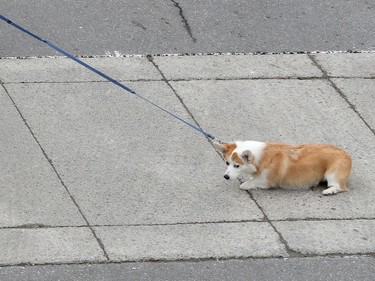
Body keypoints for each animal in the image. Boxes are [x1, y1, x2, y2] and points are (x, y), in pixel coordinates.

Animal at [214, 140, 352, 195]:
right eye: (227, 163)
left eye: (237, 165)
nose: (226, 176)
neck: (261, 156)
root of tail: (347, 155)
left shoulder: (267, 180)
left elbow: (250, 182)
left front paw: (246, 184)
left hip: (332, 174)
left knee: (340, 187)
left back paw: (329, 191)